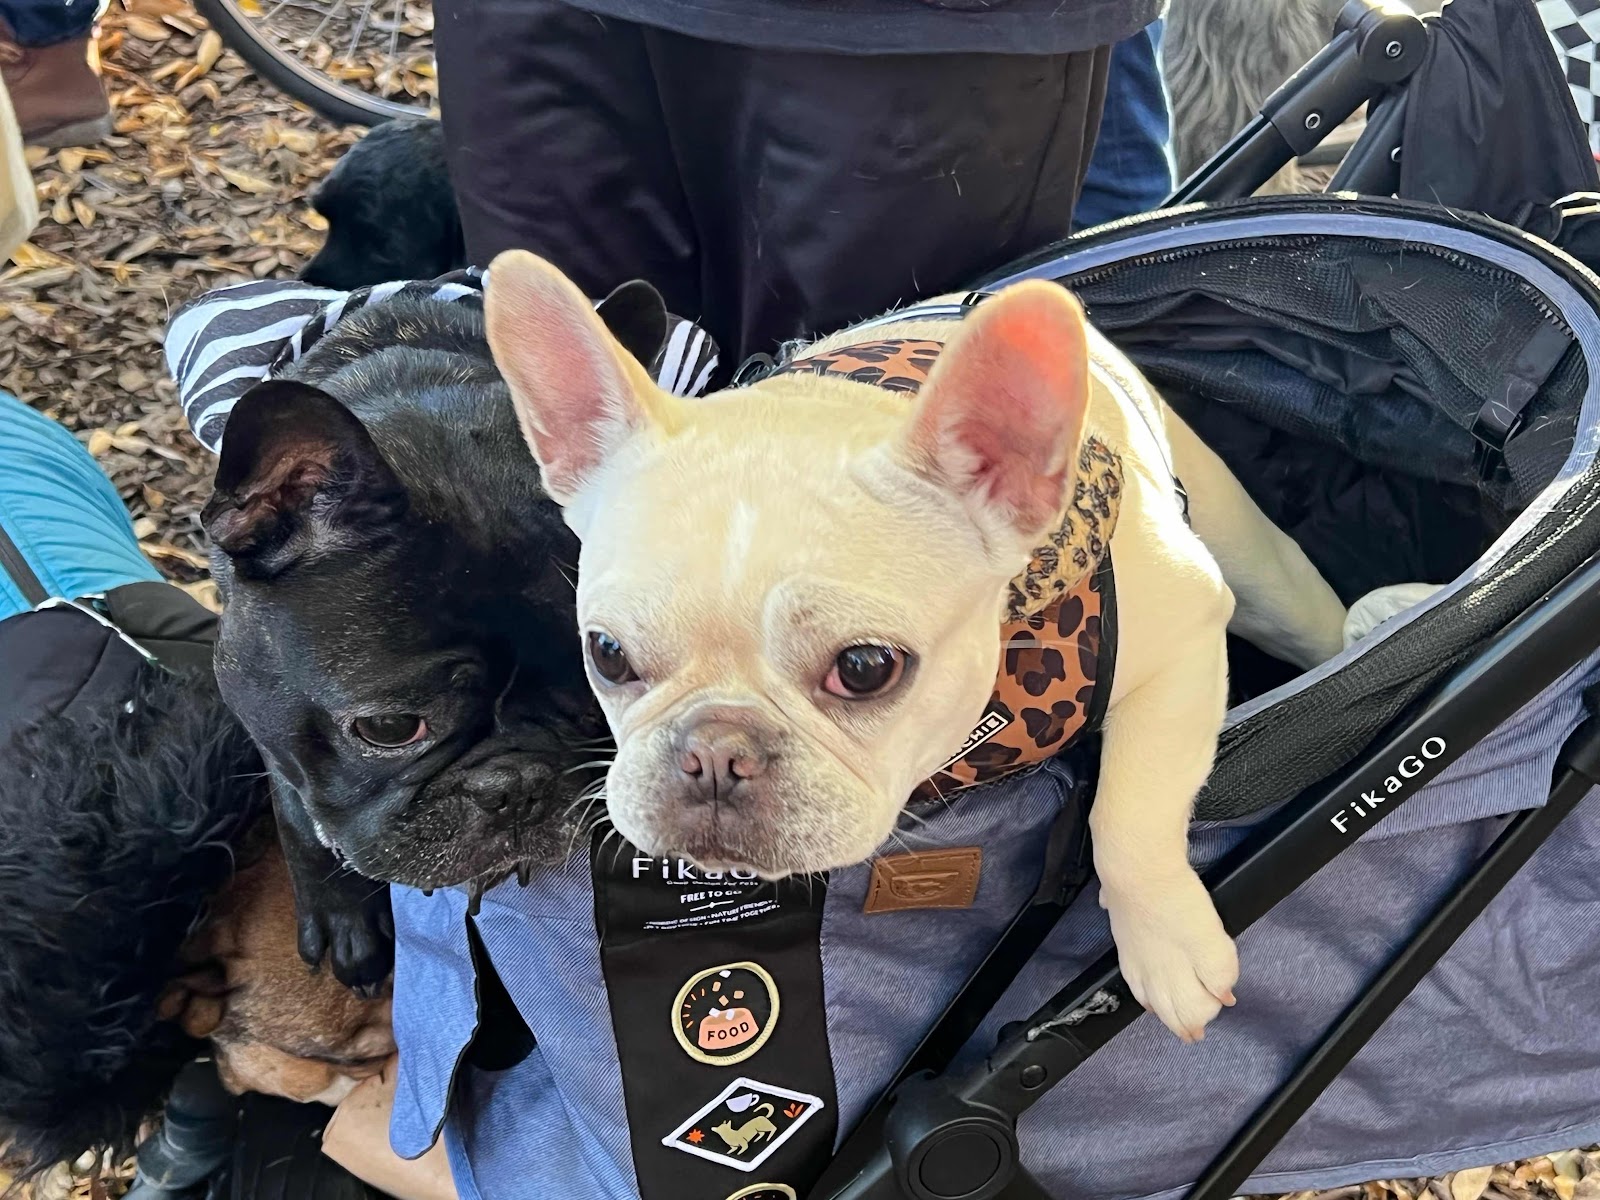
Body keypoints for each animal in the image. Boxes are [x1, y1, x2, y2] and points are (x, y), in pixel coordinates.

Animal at [483, 252, 1349, 1041]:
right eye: (607, 655)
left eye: (866, 669)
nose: (715, 752)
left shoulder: (1186, 637)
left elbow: (1133, 810)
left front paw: (1164, 942)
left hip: (1259, 573)